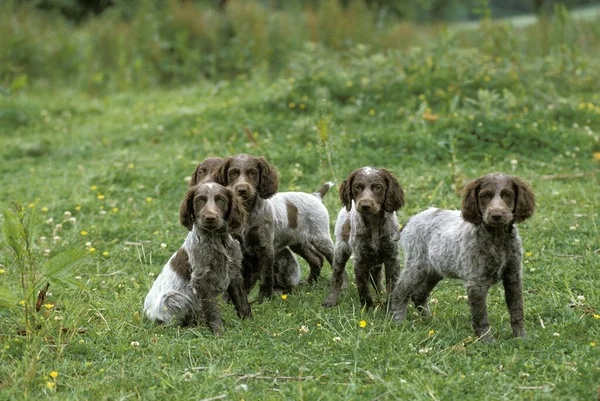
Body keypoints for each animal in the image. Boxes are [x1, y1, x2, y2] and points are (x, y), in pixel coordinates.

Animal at [144, 181, 250, 334]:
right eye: (199, 200)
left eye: (221, 200)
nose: (210, 218)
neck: (216, 240)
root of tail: (146, 315)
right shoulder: (202, 279)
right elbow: (212, 310)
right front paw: (219, 333)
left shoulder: (234, 272)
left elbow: (242, 302)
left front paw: (249, 323)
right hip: (173, 298)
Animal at [214, 153, 280, 300]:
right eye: (233, 173)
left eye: (252, 172)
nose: (242, 189)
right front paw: (228, 299)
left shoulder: (265, 246)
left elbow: (266, 276)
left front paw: (265, 298)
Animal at [322, 167, 406, 308]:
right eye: (357, 187)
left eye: (378, 187)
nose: (365, 205)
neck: (374, 223)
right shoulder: (360, 259)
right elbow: (363, 287)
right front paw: (367, 308)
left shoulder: (392, 257)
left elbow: (392, 285)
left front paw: (390, 308)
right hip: (341, 250)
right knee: (337, 275)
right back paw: (331, 299)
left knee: (376, 276)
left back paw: (381, 293)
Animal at [392, 172, 536, 340]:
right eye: (484, 196)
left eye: (507, 195)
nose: (496, 215)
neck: (497, 237)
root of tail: (412, 219)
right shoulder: (476, 282)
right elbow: (481, 316)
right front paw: (487, 340)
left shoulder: (513, 276)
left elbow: (517, 310)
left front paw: (521, 338)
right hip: (417, 266)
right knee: (400, 292)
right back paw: (398, 321)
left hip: (434, 269)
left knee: (419, 294)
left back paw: (429, 320)